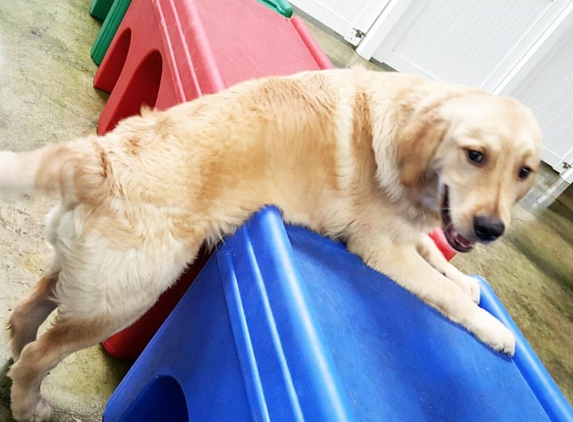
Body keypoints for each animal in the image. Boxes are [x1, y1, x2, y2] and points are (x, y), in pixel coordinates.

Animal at [0, 67, 540, 420]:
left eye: (525, 172)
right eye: (475, 155)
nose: (491, 229)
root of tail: (100, 155)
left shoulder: (413, 233)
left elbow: (436, 255)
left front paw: (468, 281)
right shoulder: (380, 249)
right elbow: (442, 287)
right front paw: (495, 329)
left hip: (88, 281)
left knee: (26, 313)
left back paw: (9, 363)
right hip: (126, 299)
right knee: (39, 355)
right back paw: (30, 406)